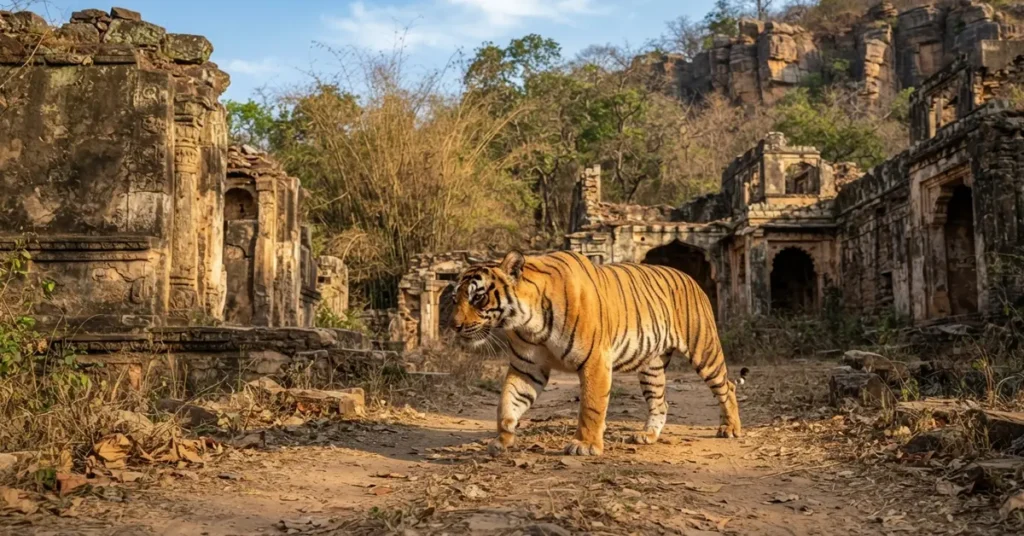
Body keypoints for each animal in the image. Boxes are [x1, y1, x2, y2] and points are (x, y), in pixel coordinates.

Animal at [451, 249, 742, 457]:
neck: (527, 321)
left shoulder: (595, 360)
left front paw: (586, 445)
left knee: (727, 386)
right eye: (455, 298)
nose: (454, 325)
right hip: (652, 365)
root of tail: (691, 277)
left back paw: (730, 428)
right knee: (661, 402)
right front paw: (502, 439)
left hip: (704, 349)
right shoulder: (527, 367)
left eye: (478, 297)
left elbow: (591, 405)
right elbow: (507, 401)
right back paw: (648, 436)